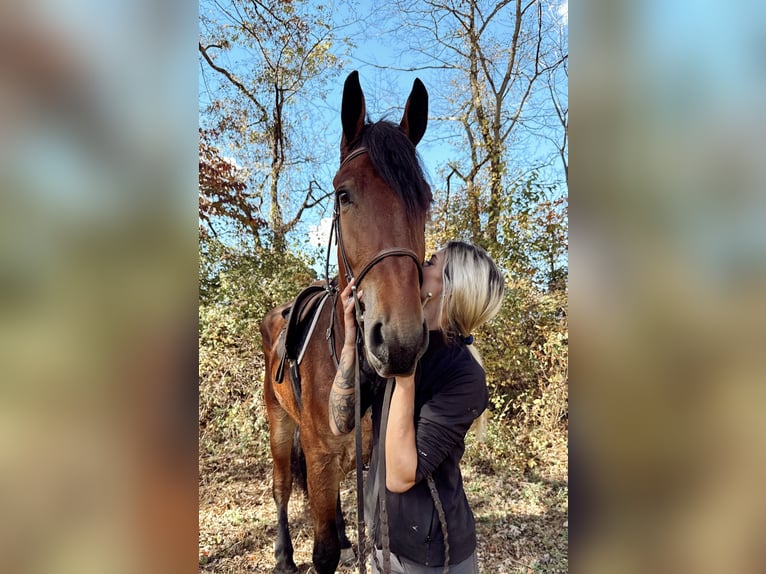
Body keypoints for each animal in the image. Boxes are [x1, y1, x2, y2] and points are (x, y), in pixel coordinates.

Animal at [259, 70, 433, 574]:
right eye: (343, 194)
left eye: (425, 201)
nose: (399, 341)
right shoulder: (317, 453)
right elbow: (322, 554)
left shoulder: (372, 455)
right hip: (280, 423)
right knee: (281, 488)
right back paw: (283, 556)